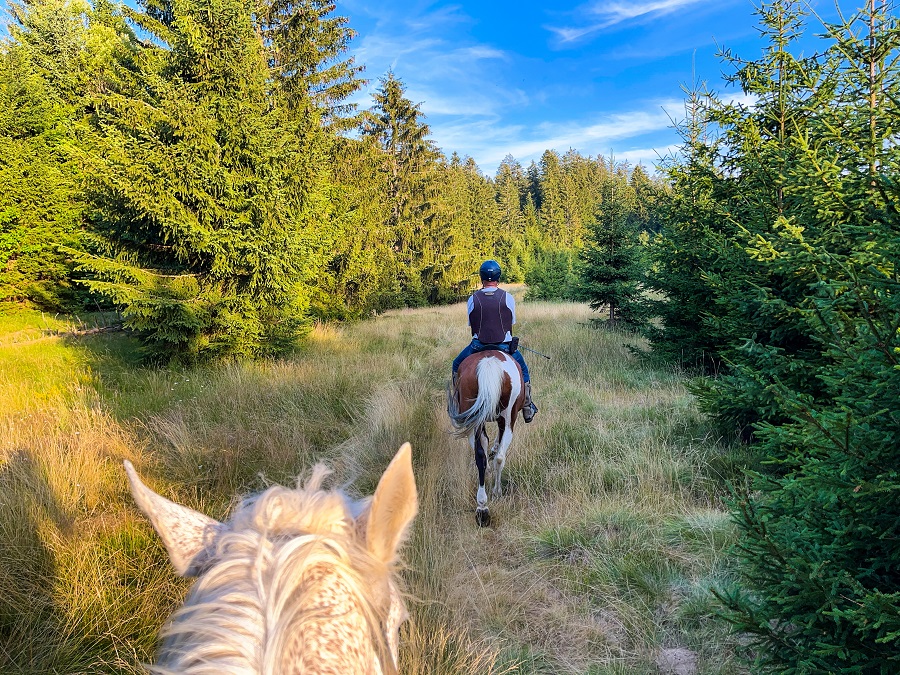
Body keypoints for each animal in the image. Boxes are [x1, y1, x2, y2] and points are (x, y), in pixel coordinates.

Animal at [446, 352, 524, 532]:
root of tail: (489, 363)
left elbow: (484, 445)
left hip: (477, 417)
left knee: (481, 457)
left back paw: (482, 508)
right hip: (508, 416)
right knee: (500, 456)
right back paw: (495, 492)